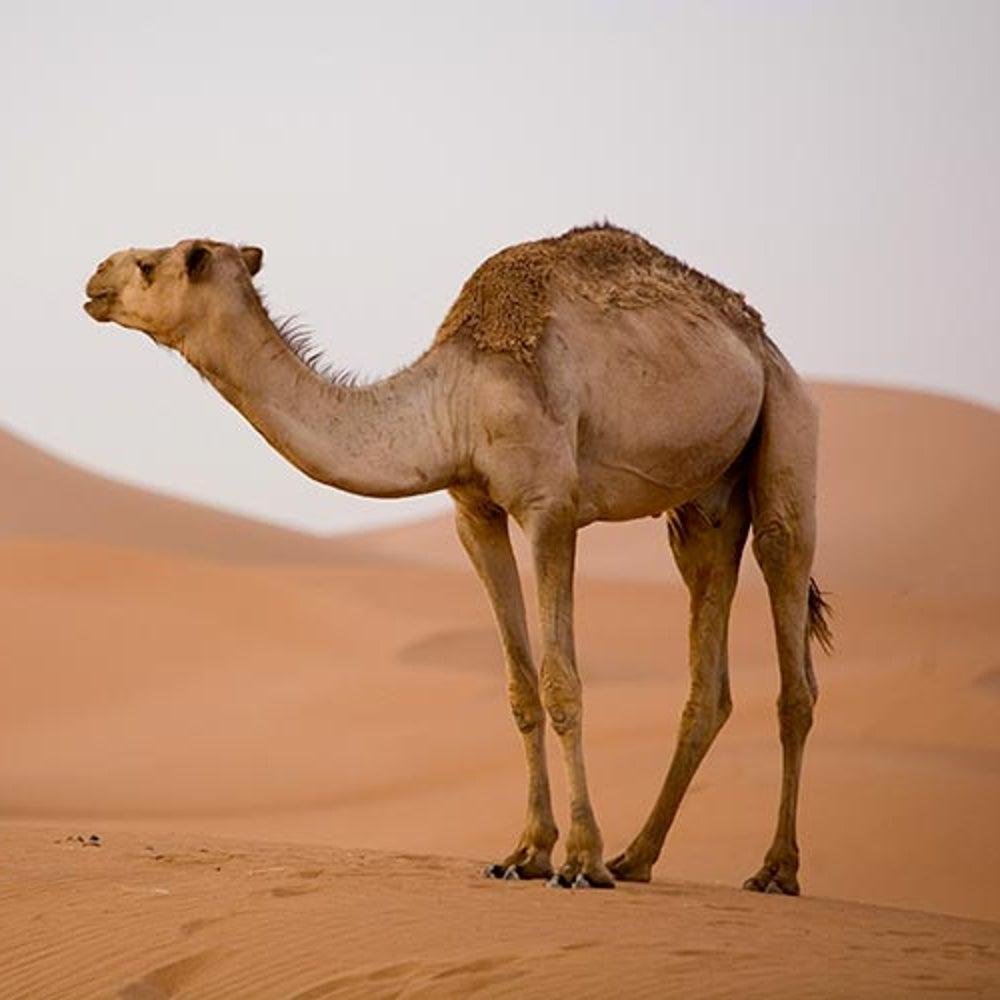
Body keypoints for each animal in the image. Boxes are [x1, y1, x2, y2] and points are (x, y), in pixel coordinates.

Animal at [84, 224, 830, 892]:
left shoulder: (551, 507)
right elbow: (519, 687)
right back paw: (638, 858)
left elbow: (561, 682)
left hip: (787, 427)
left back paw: (773, 870)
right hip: (706, 501)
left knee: (791, 629)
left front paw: (580, 861)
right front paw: (526, 854)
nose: (93, 278)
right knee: (708, 670)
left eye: (149, 264)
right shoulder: (474, 511)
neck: (456, 399)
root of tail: (762, 341)